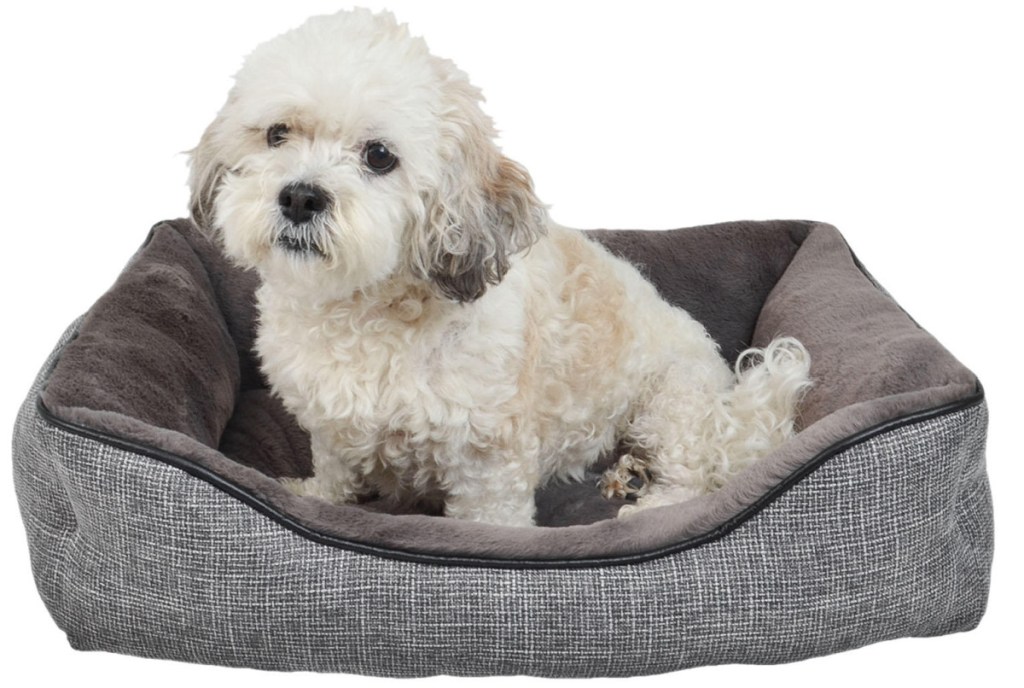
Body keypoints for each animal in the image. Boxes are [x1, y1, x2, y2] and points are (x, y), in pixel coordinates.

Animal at [188, 8, 811, 528]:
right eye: (277, 134)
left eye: (379, 156)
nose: (300, 197)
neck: (362, 309)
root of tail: (728, 399)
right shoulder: (329, 426)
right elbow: (336, 470)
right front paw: (314, 495)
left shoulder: (489, 459)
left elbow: (490, 521)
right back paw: (625, 474)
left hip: (671, 402)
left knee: (695, 474)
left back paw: (652, 504)